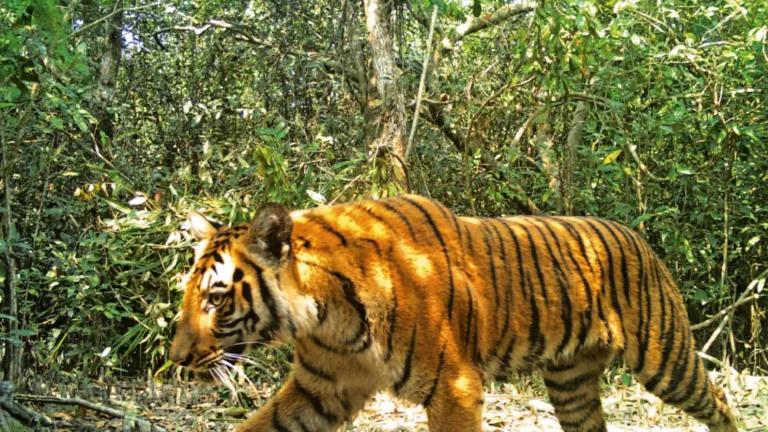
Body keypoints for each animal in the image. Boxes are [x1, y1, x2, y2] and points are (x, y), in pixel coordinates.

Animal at [169, 194, 738, 432]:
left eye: (216, 299)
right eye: (187, 295)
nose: (175, 360)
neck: (327, 317)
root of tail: (638, 235)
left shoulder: (455, 386)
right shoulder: (321, 390)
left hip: (666, 361)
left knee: (720, 402)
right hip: (571, 382)